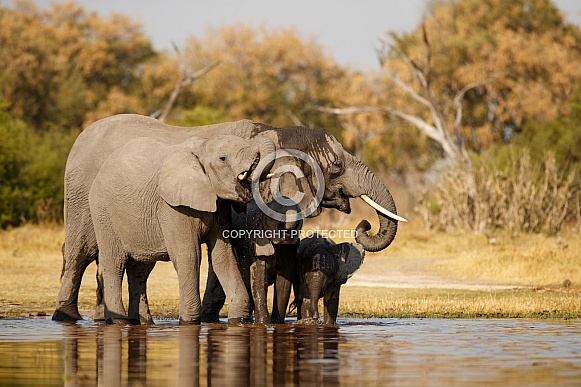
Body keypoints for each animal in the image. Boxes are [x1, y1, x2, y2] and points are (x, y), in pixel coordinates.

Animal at [52, 114, 404, 324]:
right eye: (336, 166)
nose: (363, 226)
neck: (280, 134)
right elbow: (237, 255)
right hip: (82, 194)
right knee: (80, 253)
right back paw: (67, 317)